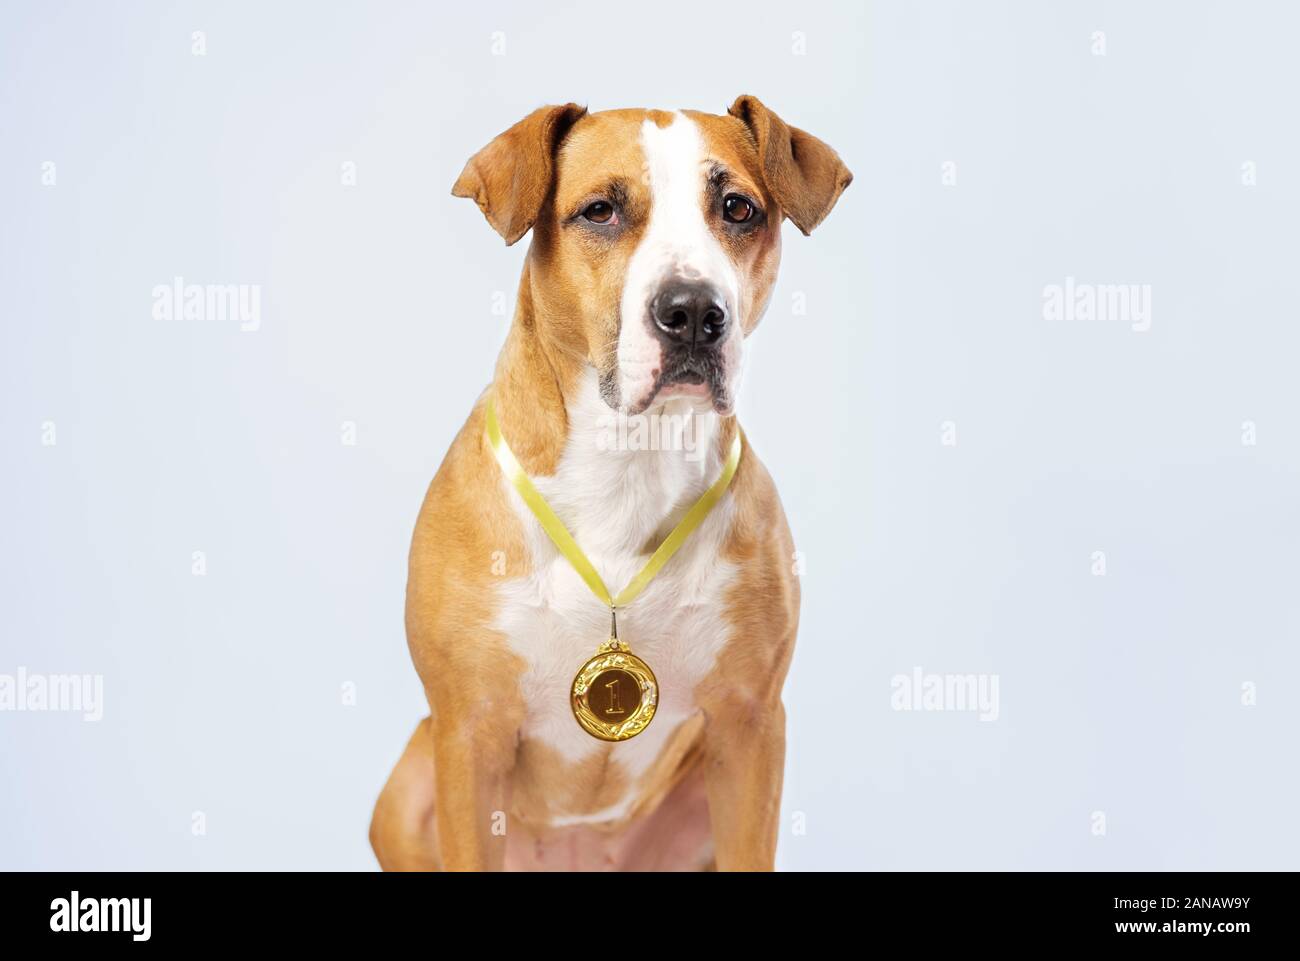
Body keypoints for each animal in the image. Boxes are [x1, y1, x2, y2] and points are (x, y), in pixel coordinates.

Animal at [371, 95, 847, 873]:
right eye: (600, 210)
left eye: (738, 208)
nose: (693, 312)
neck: (630, 461)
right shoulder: (467, 734)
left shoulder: (749, 726)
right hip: (409, 780)